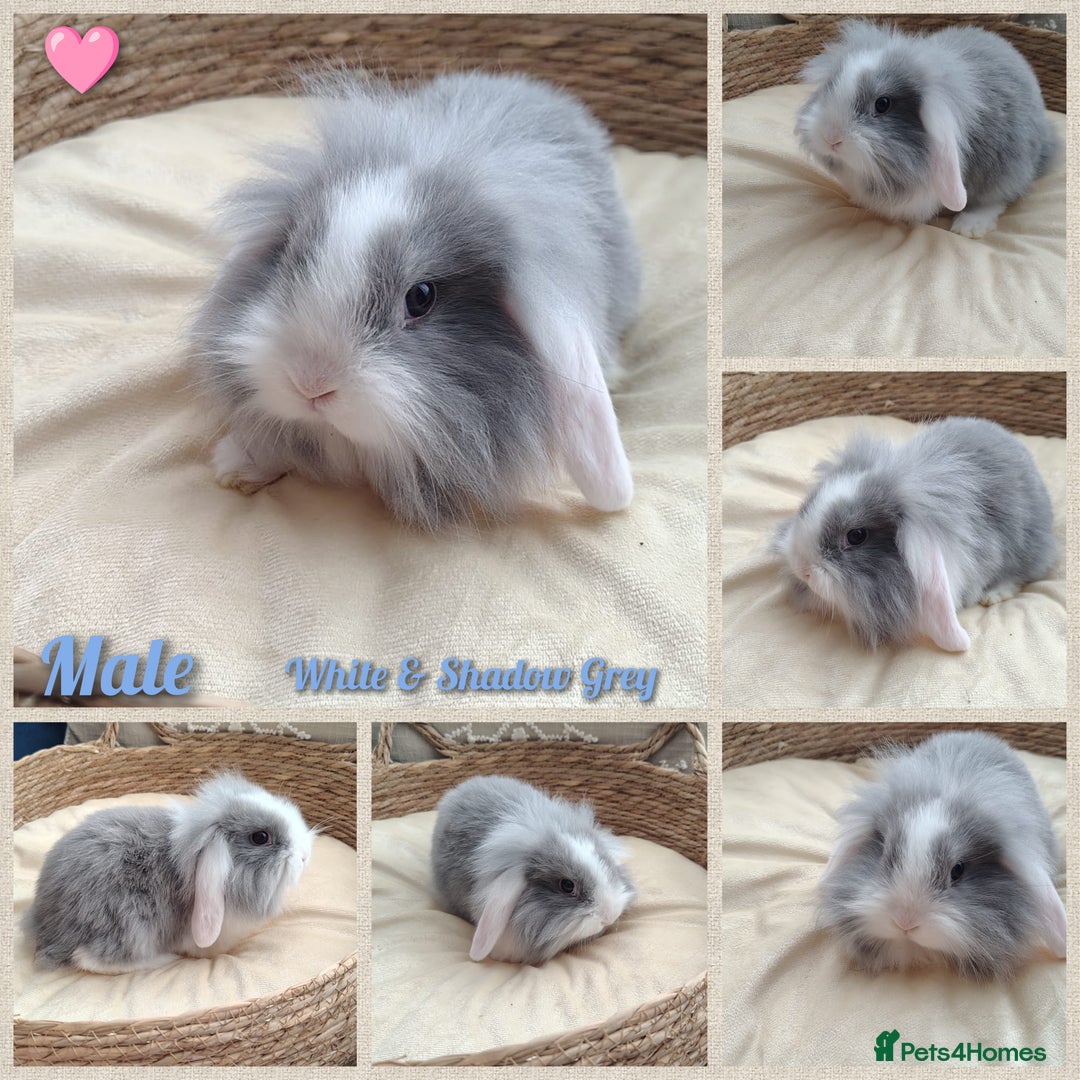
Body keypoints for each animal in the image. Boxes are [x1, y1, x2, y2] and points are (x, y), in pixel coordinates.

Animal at [25, 772, 315, 973]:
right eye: (260, 837)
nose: (305, 855)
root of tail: (48, 927)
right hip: (128, 921)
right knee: (88, 958)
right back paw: (162, 959)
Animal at [794, 20, 1058, 237]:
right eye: (831, 86)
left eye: (883, 104)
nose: (830, 137)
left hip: (1008, 166)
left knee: (999, 196)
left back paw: (970, 226)